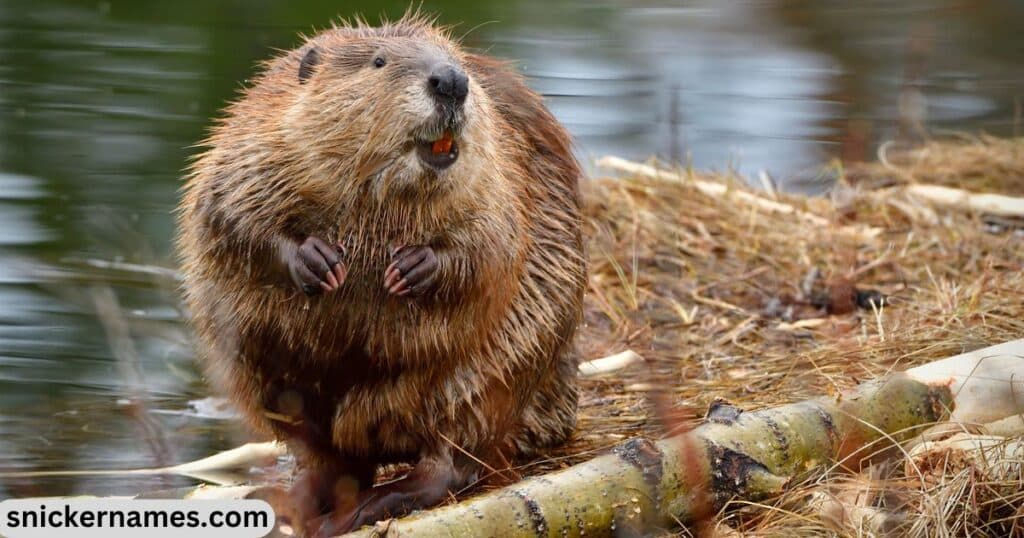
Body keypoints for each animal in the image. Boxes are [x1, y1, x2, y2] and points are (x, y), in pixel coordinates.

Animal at [178, 14, 585, 532]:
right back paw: (287, 501)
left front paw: (412, 268)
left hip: (489, 375)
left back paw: (364, 506)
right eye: (379, 61)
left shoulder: (501, 170)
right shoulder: (256, 138)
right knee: (331, 458)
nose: (451, 81)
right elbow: (226, 211)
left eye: (454, 59)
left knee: (450, 459)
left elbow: (494, 242)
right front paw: (318, 261)